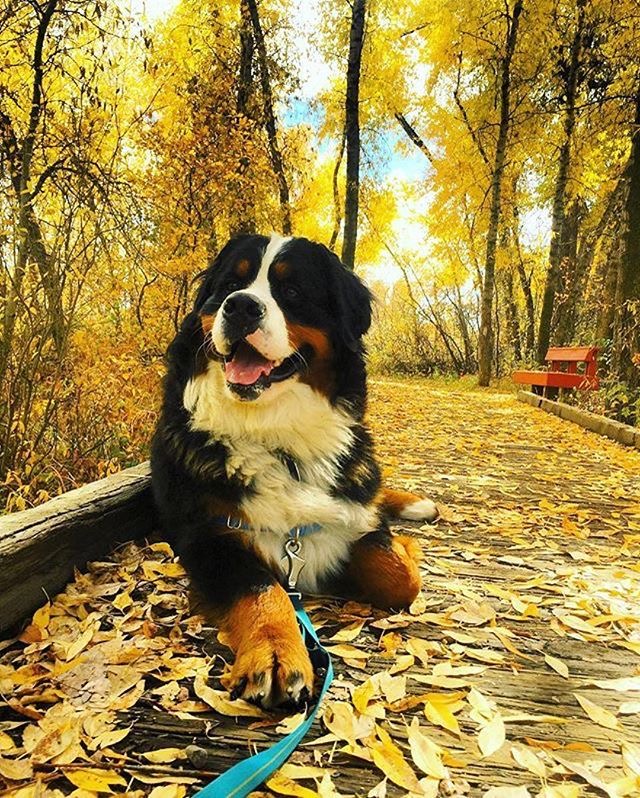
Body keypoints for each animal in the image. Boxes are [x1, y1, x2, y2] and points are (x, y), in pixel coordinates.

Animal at [152, 234, 438, 708]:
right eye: (230, 284)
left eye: (291, 291)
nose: (240, 306)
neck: (278, 438)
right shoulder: (209, 536)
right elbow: (261, 588)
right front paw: (274, 650)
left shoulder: (352, 510)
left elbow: (400, 576)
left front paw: (403, 547)